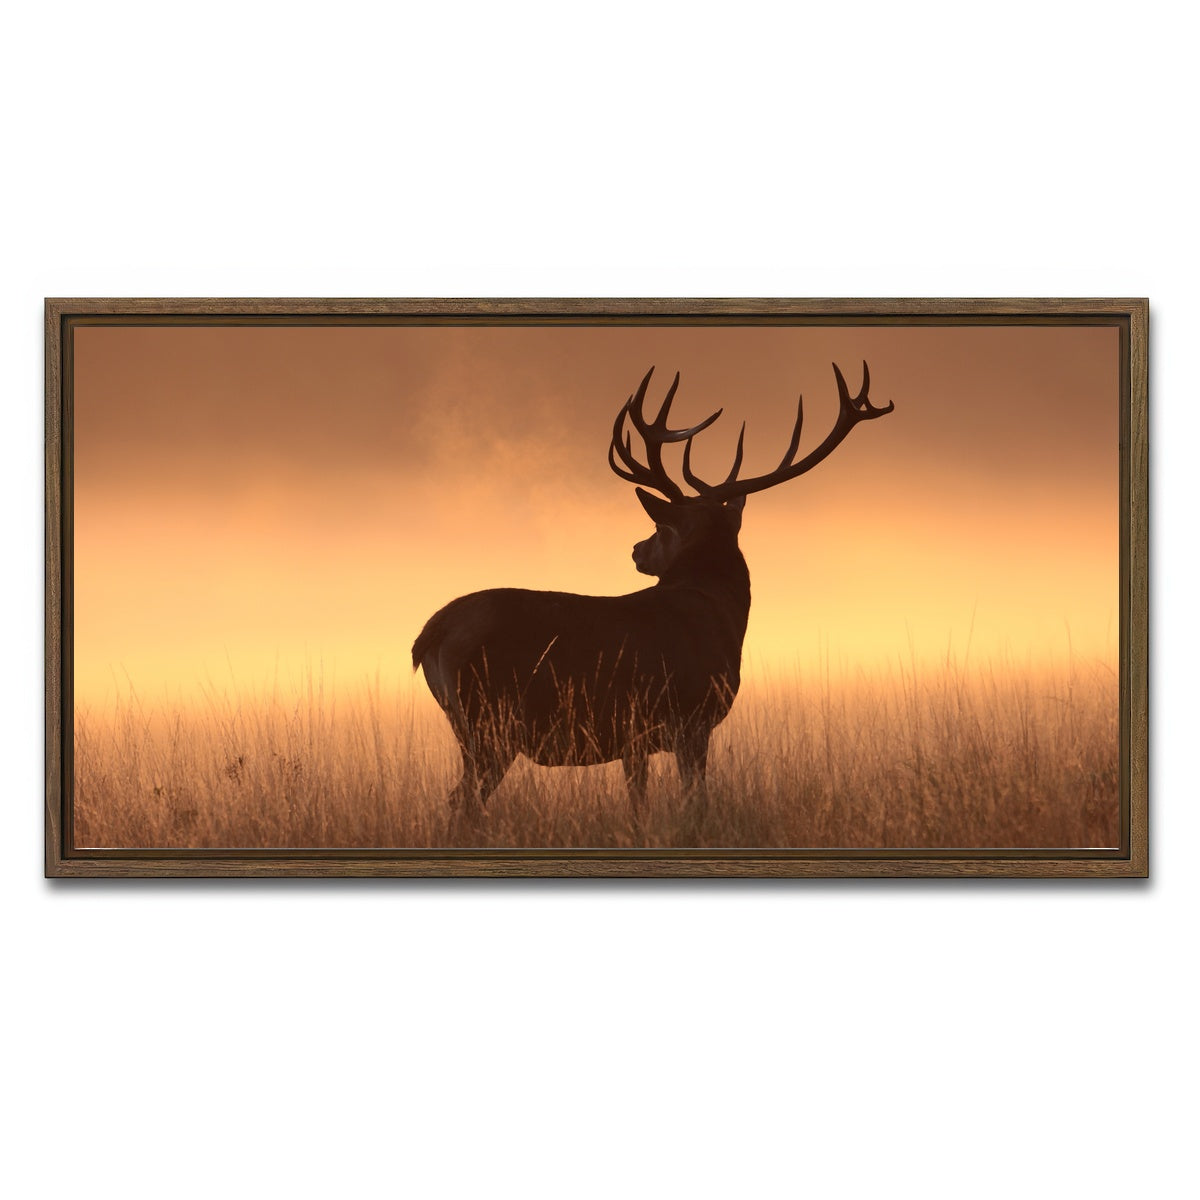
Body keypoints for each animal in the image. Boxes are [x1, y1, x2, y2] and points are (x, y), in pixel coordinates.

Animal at [412, 361, 893, 822]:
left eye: (660, 529)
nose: (636, 550)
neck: (722, 617)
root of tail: (430, 635)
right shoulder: (691, 718)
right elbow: (695, 802)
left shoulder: (635, 738)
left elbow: (639, 802)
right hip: (490, 721)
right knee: (461, 801)